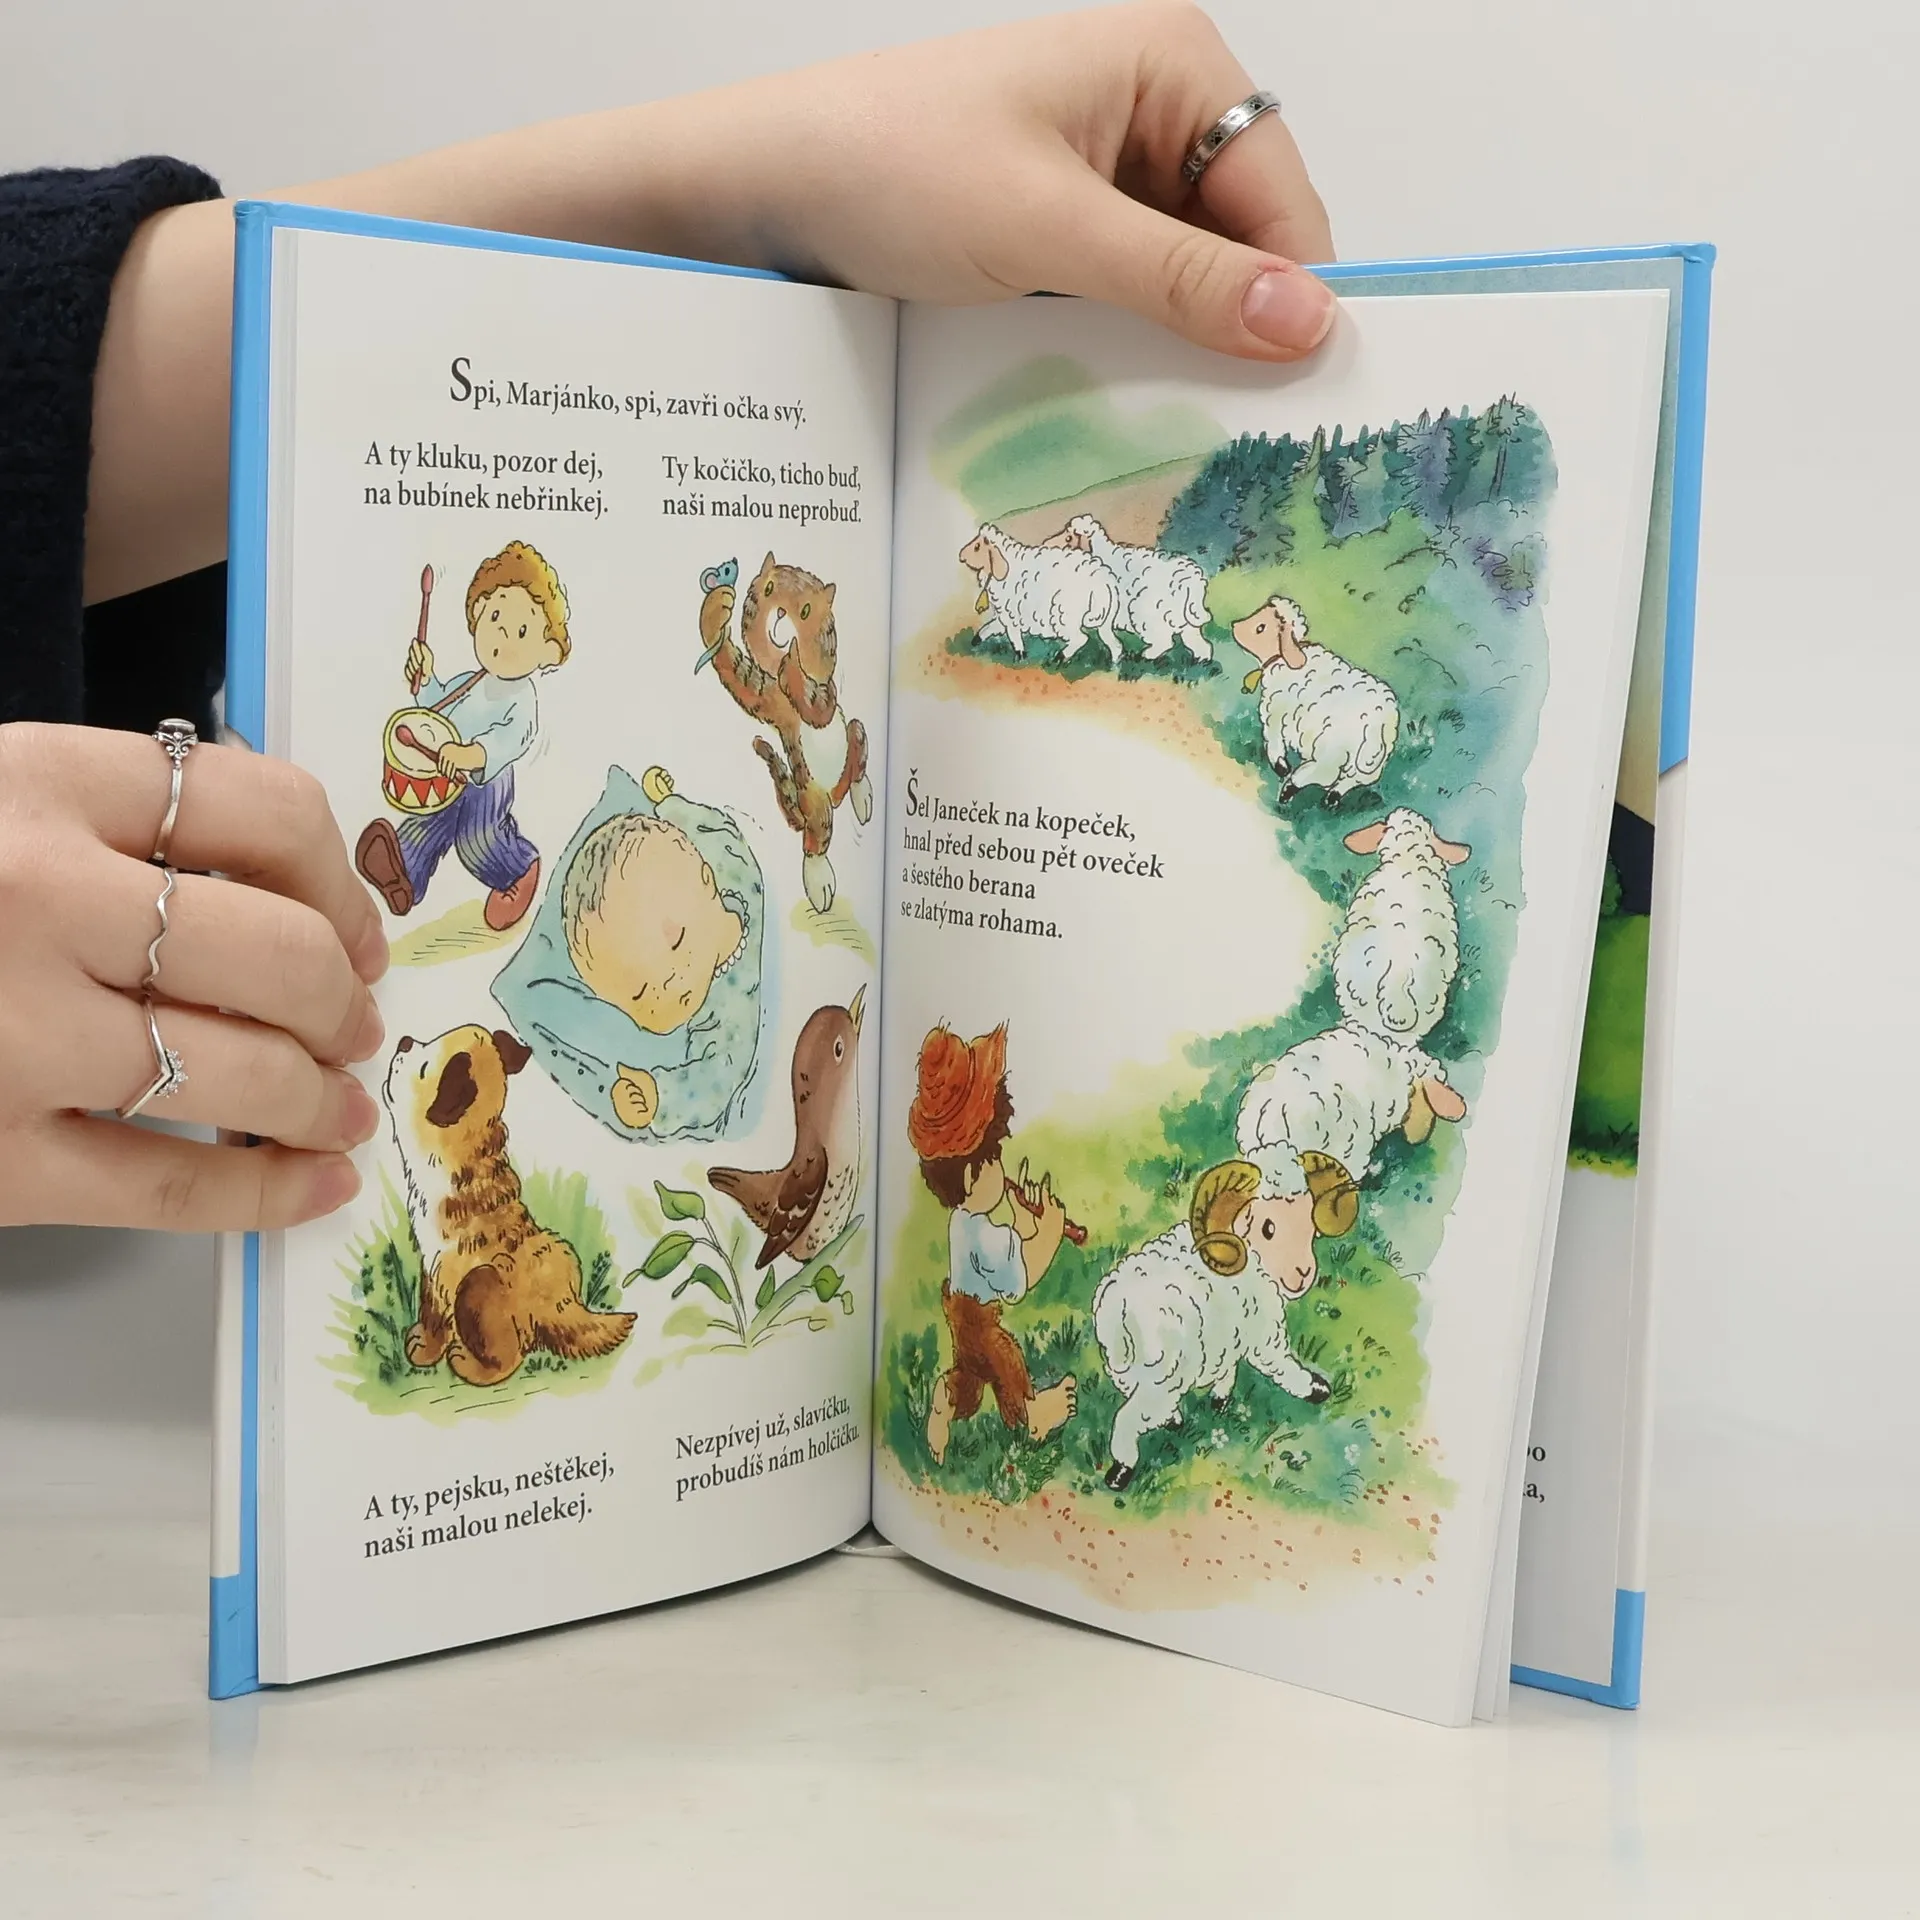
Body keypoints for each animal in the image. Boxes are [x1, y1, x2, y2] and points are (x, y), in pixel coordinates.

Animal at [382, 1024, 635, 1386]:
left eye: (424, 1066)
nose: (403, 1041)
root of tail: (563, 1305)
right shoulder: (433, 1265)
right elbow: (432, 1311)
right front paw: (424, 1347)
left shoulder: (452, 1267)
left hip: (481, 1286)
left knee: (509, 1355)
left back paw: (471, 1366)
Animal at [697, 553, 872, 912]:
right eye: (767, 590)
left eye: (805, 611)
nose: (780, 614)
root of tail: (835, 795)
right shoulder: (766, 696)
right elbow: (741, 676)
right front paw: (715, 610)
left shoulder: (826, 692)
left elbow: (820, 704)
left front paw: (793, 659)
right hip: (815, 801)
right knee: (816, 838)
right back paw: (819, 880)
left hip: (855, 733)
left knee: (857, 748)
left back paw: (862, 798)